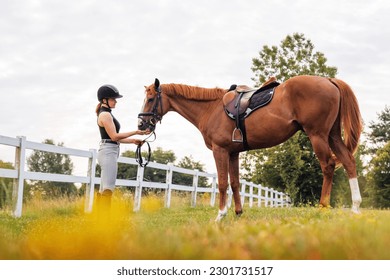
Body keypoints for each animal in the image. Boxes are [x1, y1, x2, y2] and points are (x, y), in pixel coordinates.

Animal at [137, 75, 362, 221]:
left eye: (151, 99)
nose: (141, 124)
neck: (211, 108)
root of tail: (329, 81)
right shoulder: (233, 153)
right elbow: (235, 183)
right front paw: (238, 212)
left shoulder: (220, 151)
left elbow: (222, 183)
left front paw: (220, 215)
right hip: (333, 135)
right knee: (349, 162)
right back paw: (356, 207)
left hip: (318, 135)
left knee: (328, 166)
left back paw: (323, 207)